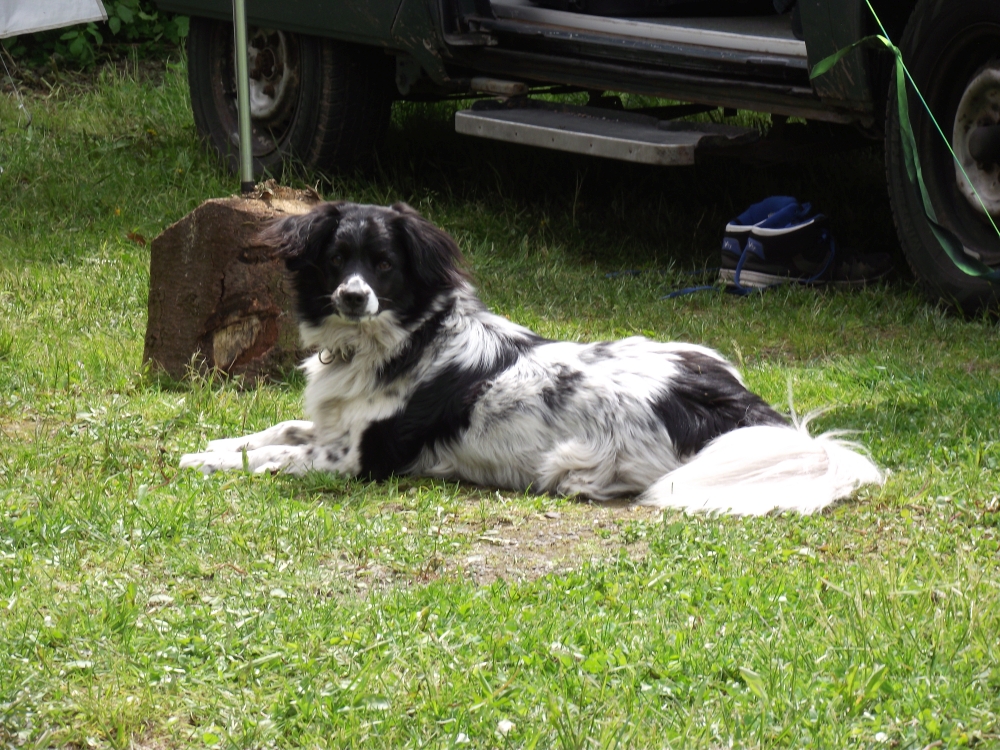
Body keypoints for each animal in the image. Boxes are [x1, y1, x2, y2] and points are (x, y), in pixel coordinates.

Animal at [180, 201, 883, 515]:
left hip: (588, 452)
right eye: (335, 261)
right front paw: (213, 445)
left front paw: (211, 462)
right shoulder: (333, 424)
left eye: (383, 265)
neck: (398, 339)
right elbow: (275, 430)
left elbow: (279, 457)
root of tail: (743, 410)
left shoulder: (357, 458)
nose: (354, 297)